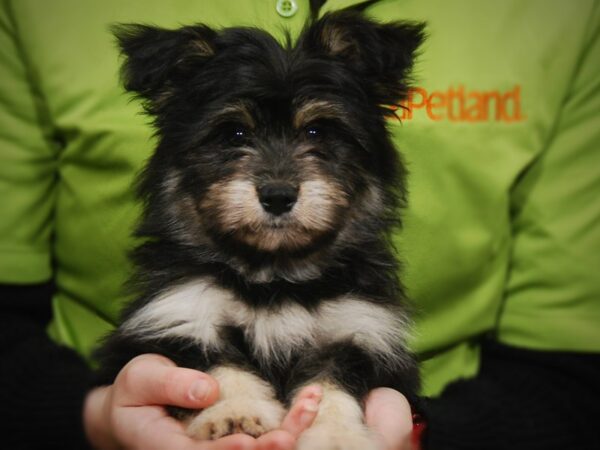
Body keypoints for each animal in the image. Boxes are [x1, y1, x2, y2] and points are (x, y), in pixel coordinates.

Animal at [96, 11, 426, 450]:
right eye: (234, 133)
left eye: (317, 131)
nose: (278, 195)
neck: (275, 274)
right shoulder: (179, 315)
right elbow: (218, 365)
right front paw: (234, 411)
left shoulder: (360, 331)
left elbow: (331, 384)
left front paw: (336, 435)